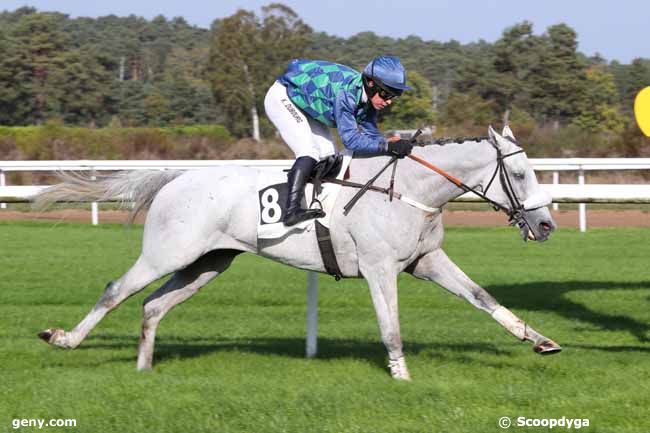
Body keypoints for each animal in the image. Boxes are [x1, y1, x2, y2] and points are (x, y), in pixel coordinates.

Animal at [38, 125, 560, 378]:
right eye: (518, 175)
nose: (546, 224)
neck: (408, 190)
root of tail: (176, 177)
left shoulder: (424, 261)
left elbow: (484, 298)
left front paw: (540, 340)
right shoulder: (379, 270)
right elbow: (390, 329)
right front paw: (402, 378)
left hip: (207, 264)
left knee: (152, 305)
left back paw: (144, 369)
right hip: (167, 254)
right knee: (116, 290)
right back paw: (62, 338)